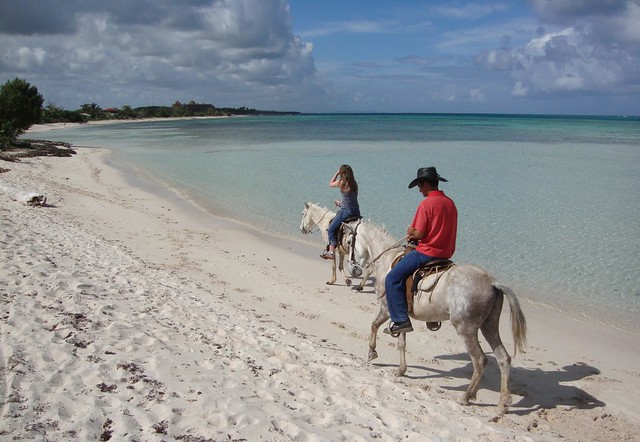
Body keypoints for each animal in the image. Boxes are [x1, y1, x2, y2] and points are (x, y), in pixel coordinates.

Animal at [352, 221, 528, 418]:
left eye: (350, 241)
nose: (355, 268)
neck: (387, 260)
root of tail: (492, 282)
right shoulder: (401, 317)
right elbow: (401, 342)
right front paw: (401, 369)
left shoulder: (387, 309)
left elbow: (374, 325)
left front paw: (371, 352)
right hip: (489, 326)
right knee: (503, 359)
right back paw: (501, 404)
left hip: (465, 329)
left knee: (480, 360)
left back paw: (466, 396)